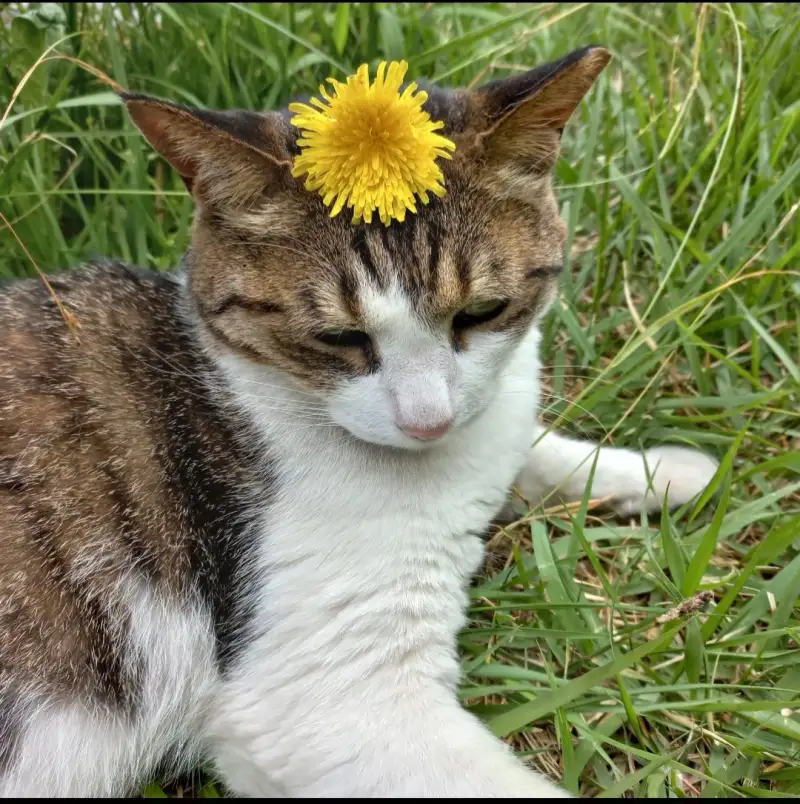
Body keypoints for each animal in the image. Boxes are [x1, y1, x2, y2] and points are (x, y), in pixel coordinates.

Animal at [0, 45, 719, 797]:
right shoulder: (330, 697)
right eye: (339, 338)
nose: (428, 420)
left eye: (481, 312)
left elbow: (535, 446)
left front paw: (663, 471)